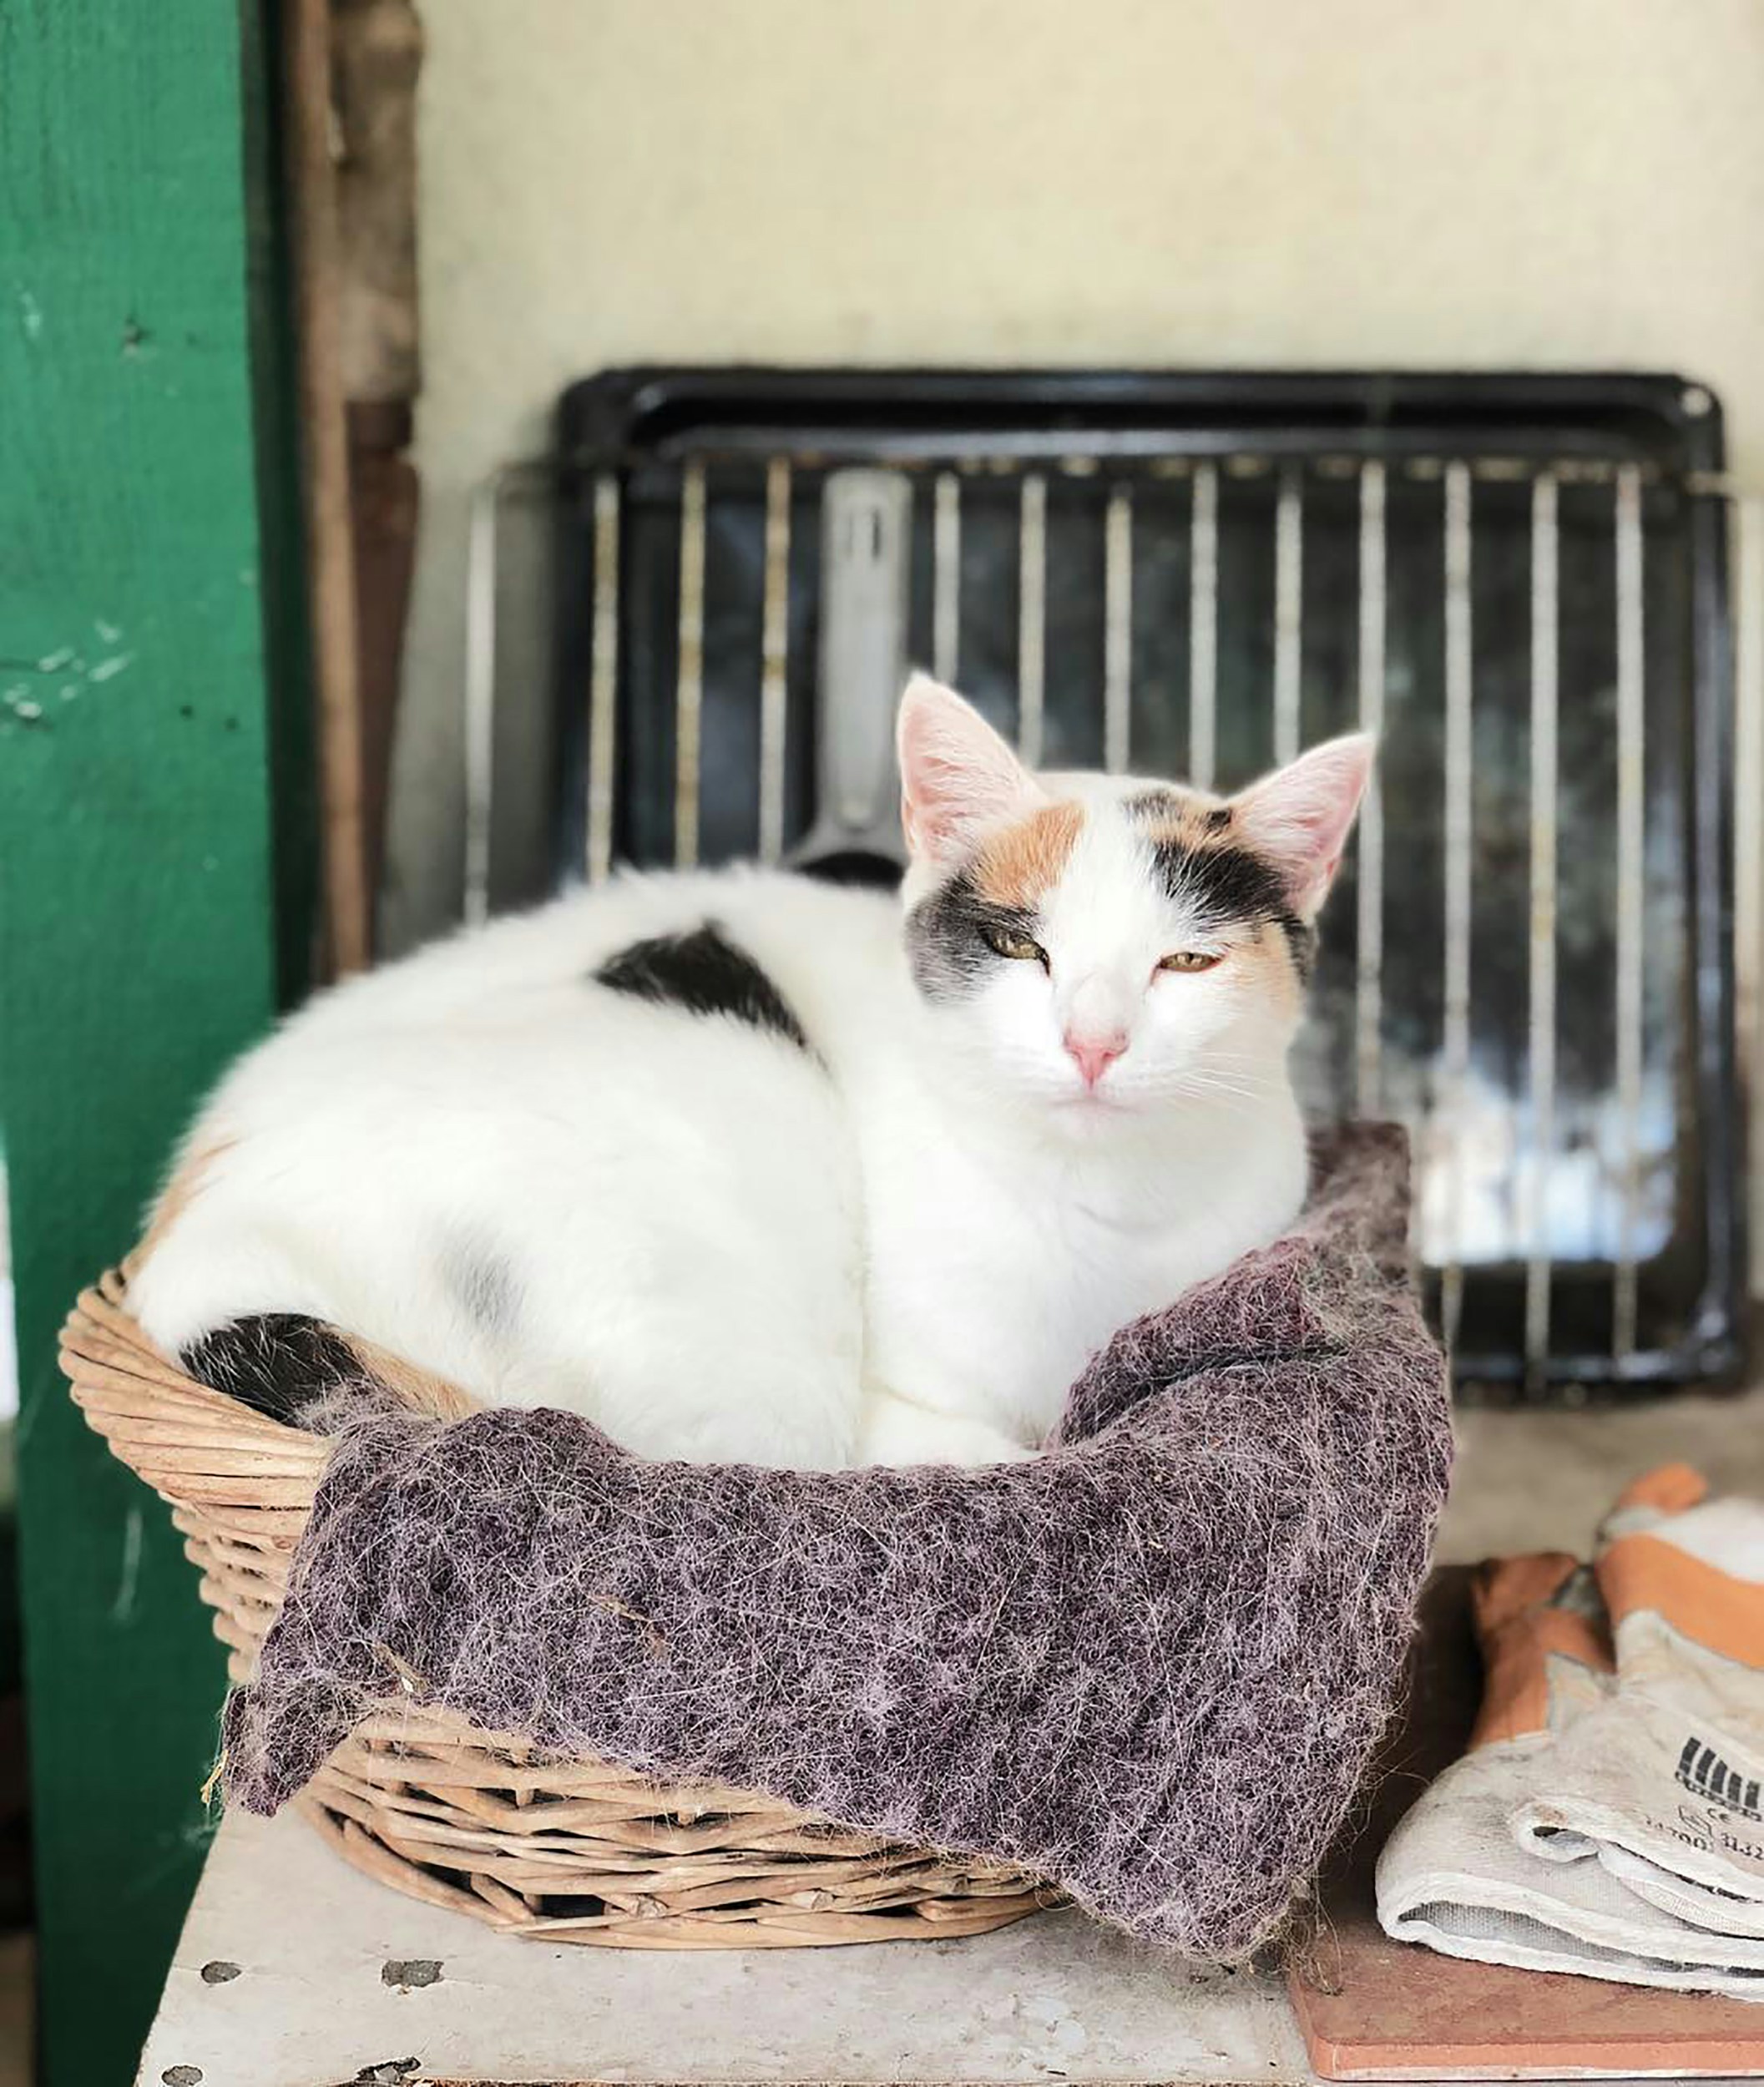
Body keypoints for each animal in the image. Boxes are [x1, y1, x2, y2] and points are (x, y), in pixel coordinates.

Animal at [134, 680, 1377, 1469]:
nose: (1093, 1041)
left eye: (1186, 962)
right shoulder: (890, 1412)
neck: (1104, 1214)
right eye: (1018, 947)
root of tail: (190, 1256)